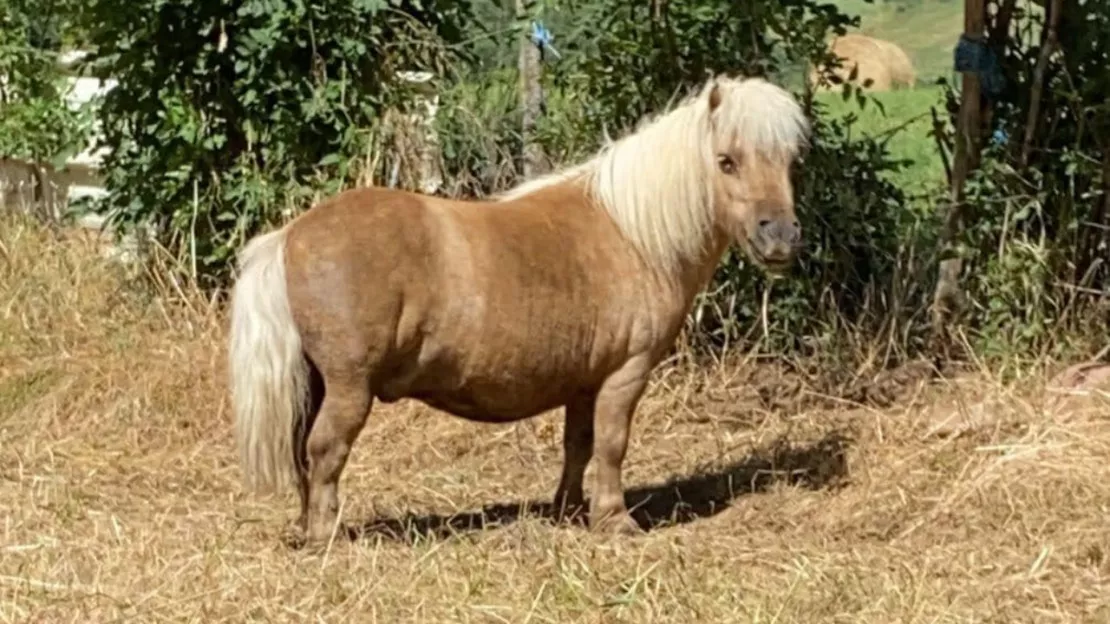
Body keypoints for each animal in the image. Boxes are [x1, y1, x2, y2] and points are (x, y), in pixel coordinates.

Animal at [229, 72, 812, 541]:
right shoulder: (625, 373)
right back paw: (326, 535)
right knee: (326, 449)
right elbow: (613, 444)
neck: (634, 234)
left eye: (789, 162)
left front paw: (569, 512)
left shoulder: (584, 382)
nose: (781, 237)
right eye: (726, 162)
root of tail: (292, 234)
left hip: (316, 385)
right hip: (350, 386)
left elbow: (579, 446)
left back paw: (306, 526)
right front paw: (615, 520)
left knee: (304, 455)